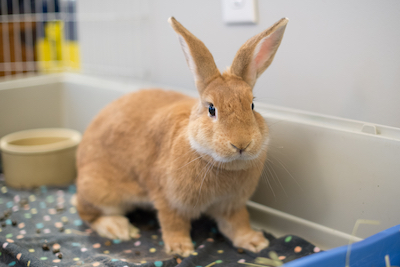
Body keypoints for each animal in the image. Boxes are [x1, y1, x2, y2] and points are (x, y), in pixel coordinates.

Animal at [76, 16, 288, 258]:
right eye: (211, 109)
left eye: (252, 105)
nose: (241, 144)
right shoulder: (168, 200)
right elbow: (173, 223)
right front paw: (181, 249)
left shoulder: (231, 205)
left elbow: (238, 223)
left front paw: (255, 242)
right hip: (102, 192)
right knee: (86, 212)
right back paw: (118, 228)